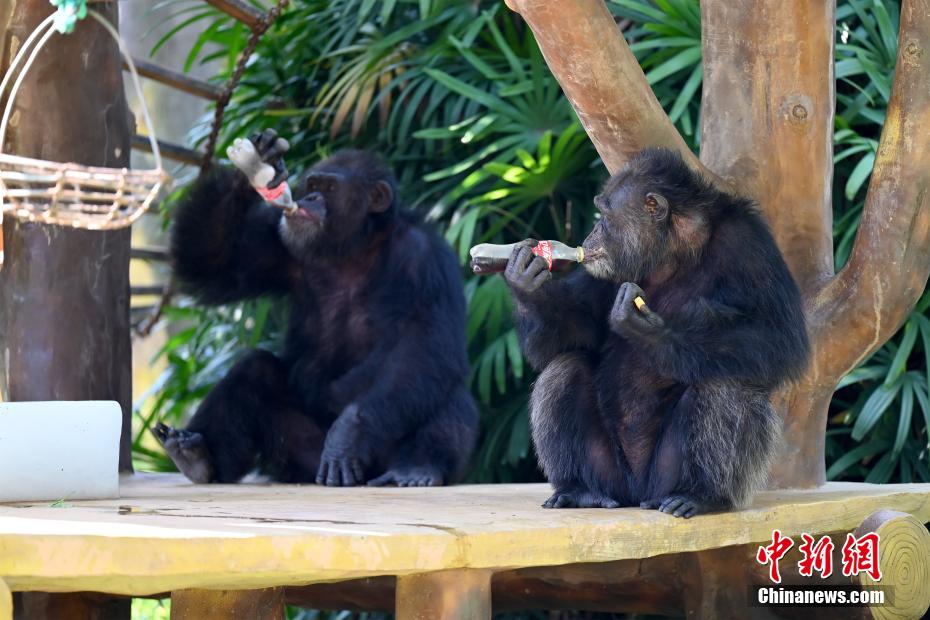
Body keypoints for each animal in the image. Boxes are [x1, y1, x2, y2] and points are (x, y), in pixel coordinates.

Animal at [153, 132, 478, 490]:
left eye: (330, 187)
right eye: (311, 183)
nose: (309, 197)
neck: (354, 248)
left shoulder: (426, 258)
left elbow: (426, 343)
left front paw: (349, 434)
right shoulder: (278, 245)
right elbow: (214, 263)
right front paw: (258, 163)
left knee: (441, 387)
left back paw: (417, 469)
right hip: (301, 458)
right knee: (253, 369)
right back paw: (199, 458)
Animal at [504, 149, 808, 520]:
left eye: (605, 215)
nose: (591, 231)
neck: (673, 250)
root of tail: (638, 493)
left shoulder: (749, 244)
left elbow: (778, 337)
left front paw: (647, 330)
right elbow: (573, 333)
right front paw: (527, 282)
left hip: (663, 475)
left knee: (725, 380)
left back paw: (700, 494)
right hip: (612, 476)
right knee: (564, 369)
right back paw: (580, 489)